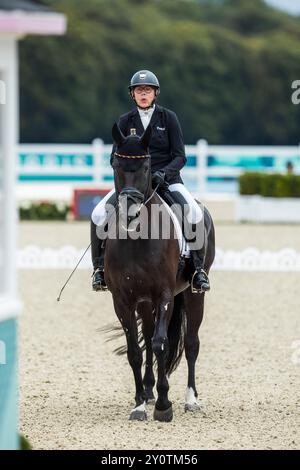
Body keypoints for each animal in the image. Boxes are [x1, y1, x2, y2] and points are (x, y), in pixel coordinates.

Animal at [102, 123, 214, 420]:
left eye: (146, 166)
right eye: (116, 163)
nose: (129, 209)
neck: (137, 237)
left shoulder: (164, 295)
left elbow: (161, 343)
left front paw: (164, 406)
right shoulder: (123, 300)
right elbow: (135, 351)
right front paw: (140, 404)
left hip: (193, 293)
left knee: (191, 343)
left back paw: (190, 399)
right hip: (144, 301)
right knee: (149, 338)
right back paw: (150, 392)